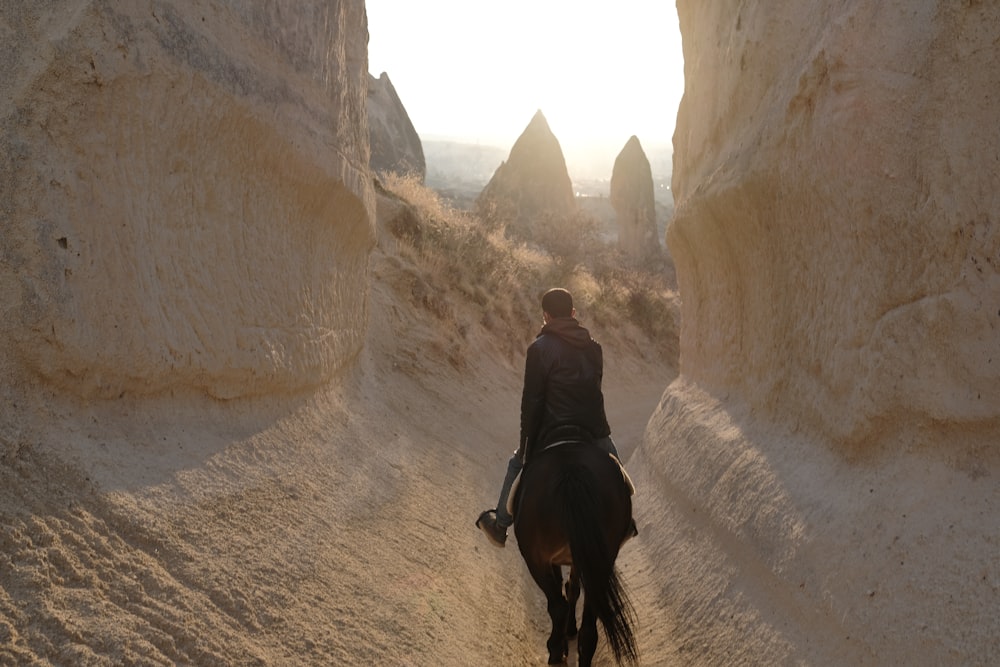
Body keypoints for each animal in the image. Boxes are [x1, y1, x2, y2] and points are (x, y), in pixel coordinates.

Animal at [512, 440, 636, 664]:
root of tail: (571, 472)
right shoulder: (581, 557)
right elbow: (573, 589)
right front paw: (570, 631)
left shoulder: (552, 559)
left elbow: (566, 588)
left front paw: (564, 638)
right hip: (601, 557)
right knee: (589, 626)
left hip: (535, 558)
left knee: (557, 606)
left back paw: (555, 651)